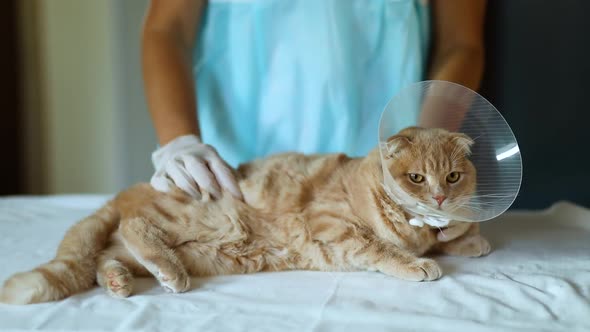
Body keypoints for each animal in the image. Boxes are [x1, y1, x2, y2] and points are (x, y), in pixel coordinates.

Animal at [0, 128, 490, 304]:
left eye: (452, 176)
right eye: (415, 178)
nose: (439, 199)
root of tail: (128, 191)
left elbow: (449, 237)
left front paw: (467, 237)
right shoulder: (333, 223)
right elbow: (383, 249)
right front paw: (419, 262)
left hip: (194, 249)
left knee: (106, 257)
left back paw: (120, 281)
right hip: (194, 219)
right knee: (133, 229)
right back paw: (165, 273)